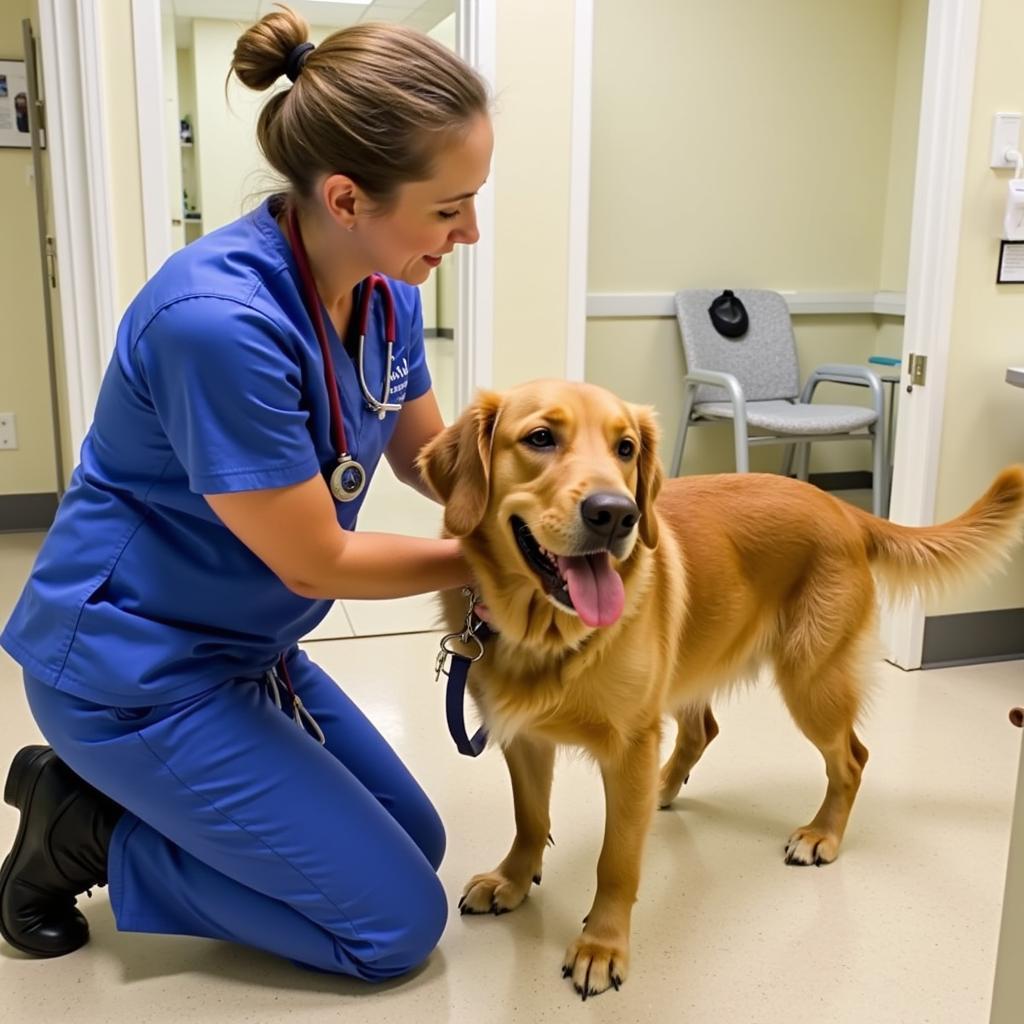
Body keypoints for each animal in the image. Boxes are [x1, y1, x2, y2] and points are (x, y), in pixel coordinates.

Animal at [415, 380, 1024, 995]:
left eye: (626, 448)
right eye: (540, 438)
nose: (617, 515)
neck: (546, 634)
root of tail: (842, 509)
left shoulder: (629, 744)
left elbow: (617, 861)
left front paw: (602, 945)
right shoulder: (524, 739)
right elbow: (531, 819)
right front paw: (513, 879)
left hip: (812, 682)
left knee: (852, 758)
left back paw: (822, 835)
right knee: (702, 731)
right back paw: (662, 789)